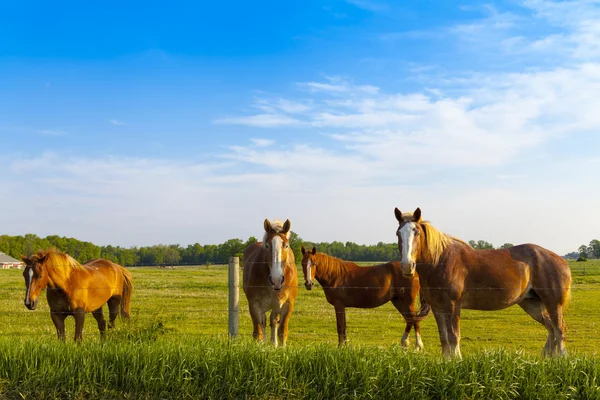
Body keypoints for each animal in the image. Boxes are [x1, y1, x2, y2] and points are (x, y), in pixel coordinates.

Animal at [394, 208, 572, 358]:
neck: (440, 261)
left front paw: (457, 360)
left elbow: (453, 336)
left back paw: (562, 359)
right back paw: (549, 357)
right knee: (551, 328)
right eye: (398, 233)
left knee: (560, 329)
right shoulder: (438, 308)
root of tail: (561, 260)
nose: (407, 265)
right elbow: (444, 338)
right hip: (532, 304)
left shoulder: (453, 305)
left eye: (416, 232)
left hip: (553, 303)